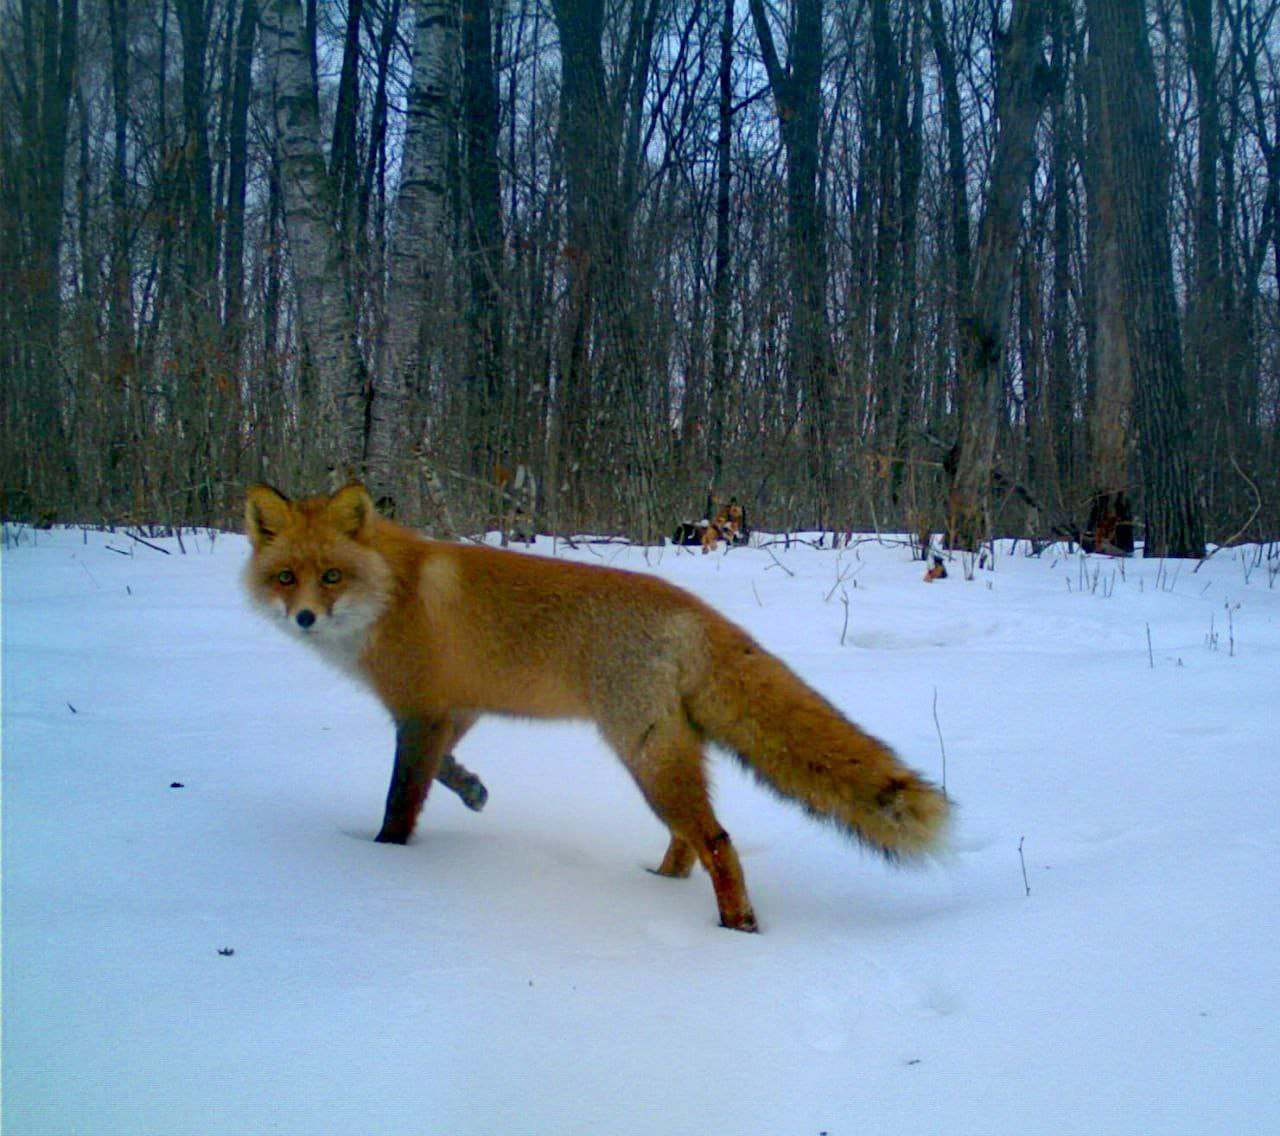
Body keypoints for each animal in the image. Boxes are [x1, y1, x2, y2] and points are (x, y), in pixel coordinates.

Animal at [241, 481, 952, 931]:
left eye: (332, 576)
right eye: (286, 577)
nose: (304, 618)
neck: (391, 590)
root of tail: (695, 609)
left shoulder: (420, 712)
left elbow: (400, 801)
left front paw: (384, 861)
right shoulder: (455, 709)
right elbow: (445, 770)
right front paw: (472, 789)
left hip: (643, 754)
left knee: (717, 840)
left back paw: (737, 930)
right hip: (666, 755)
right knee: (691, 838)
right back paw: (659, 885)